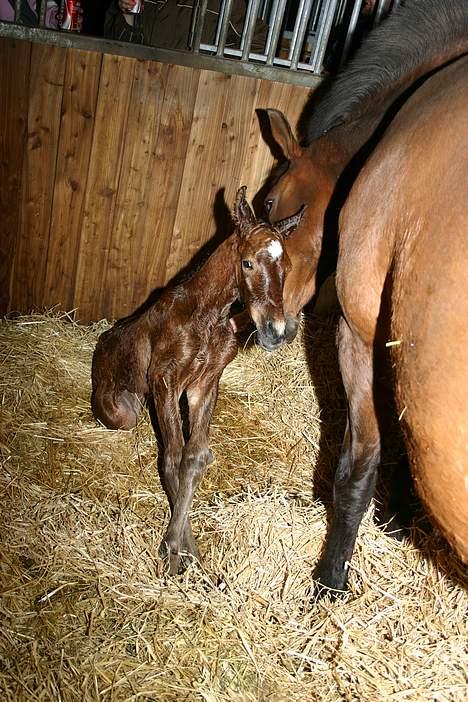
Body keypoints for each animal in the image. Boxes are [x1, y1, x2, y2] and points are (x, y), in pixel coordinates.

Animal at [91, 188, 304, 576]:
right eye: (248, 263)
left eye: (288, 268)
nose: (276, 332)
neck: (206, 316)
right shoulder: (165, 380)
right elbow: (173, 457)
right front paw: (174, 549)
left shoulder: (204, 384)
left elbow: (195, 457)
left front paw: (189, 551)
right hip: (121, 412)